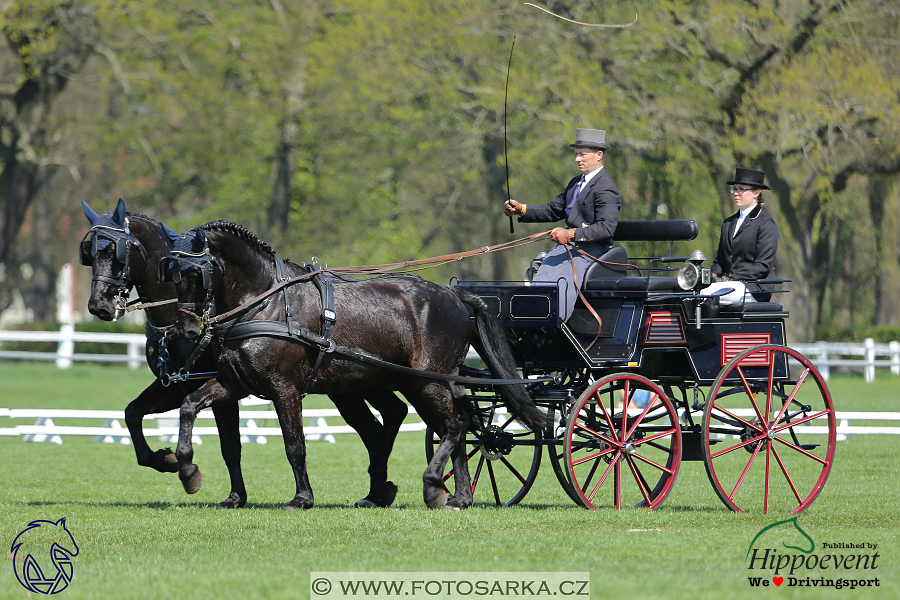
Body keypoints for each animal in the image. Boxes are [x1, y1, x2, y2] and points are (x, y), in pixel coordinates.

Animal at [78, 200, 248, 506]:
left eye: (116, 252)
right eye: (90, 253)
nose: (99, 306)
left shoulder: (224, 387)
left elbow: (230, 447)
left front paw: (226, 492)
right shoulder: (175, 384)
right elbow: (132, 413)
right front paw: (166, 460)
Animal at [165, 221, 544, 510]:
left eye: (195, 273)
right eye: (170, 275)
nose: (185, 330)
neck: (265, 302)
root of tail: (453, 296)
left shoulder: (284, 388)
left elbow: (294, 445)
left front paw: (301, 499)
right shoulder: (234, 383)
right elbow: (189, 407)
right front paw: (188, 469)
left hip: (426, 382)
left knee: (454, 424)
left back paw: (433, 485)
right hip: (414, 382)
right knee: (456, 425)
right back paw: (458, 497)